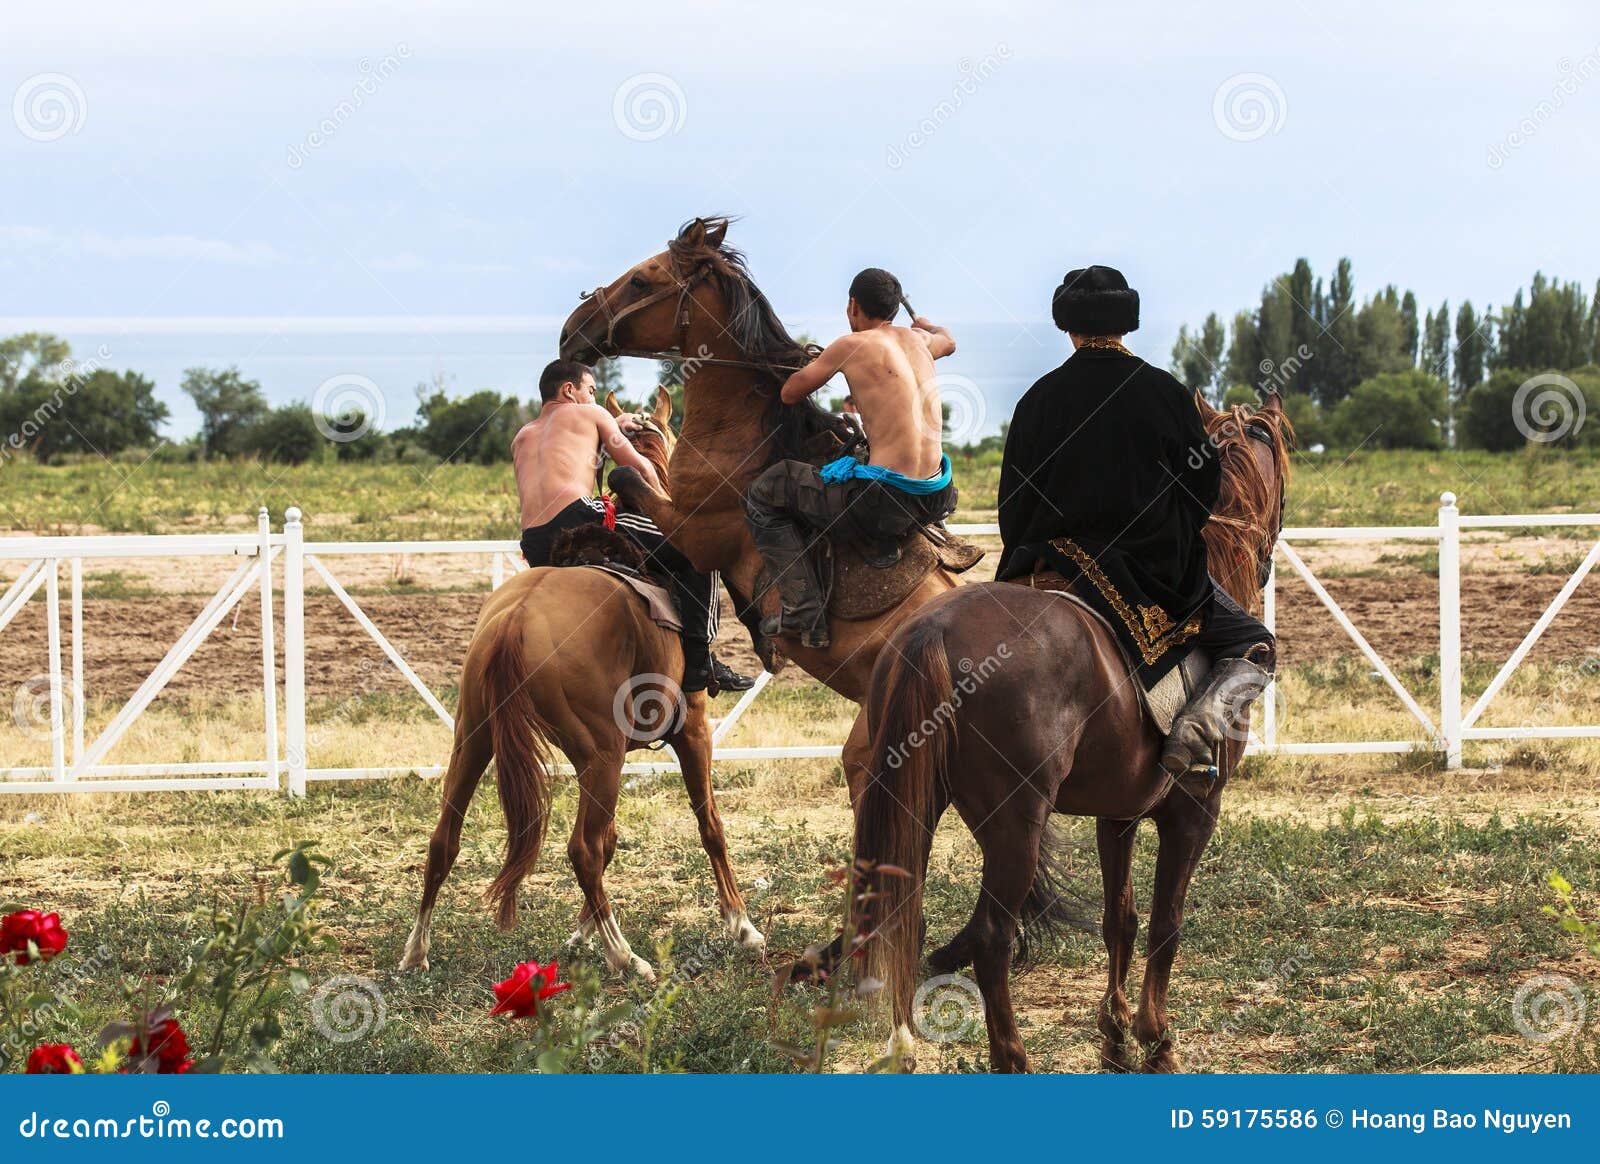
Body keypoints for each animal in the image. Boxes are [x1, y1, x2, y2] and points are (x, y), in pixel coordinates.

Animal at [396, 386, 764, 978]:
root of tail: (517, 616)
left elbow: (612, 837)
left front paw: (580, 932)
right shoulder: (694, 731)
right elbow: (707, 823)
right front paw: (741, 926)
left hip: (475, 739)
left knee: (443, 840)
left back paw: (416, 950)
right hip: (601, 750)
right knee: (581, 850)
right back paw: (626, 955)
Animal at [857, 399, 1292, 1074]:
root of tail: (935, 632)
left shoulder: (1118, 814)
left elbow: (1122, 920)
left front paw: (1114, 1036)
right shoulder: (1193, 809)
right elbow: (1166, 923)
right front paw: (1156, 1040)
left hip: (916, 802)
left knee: (902, 917)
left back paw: (903, 1047)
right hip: (1016, 824)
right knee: (991, 938)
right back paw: (1011, 1058)